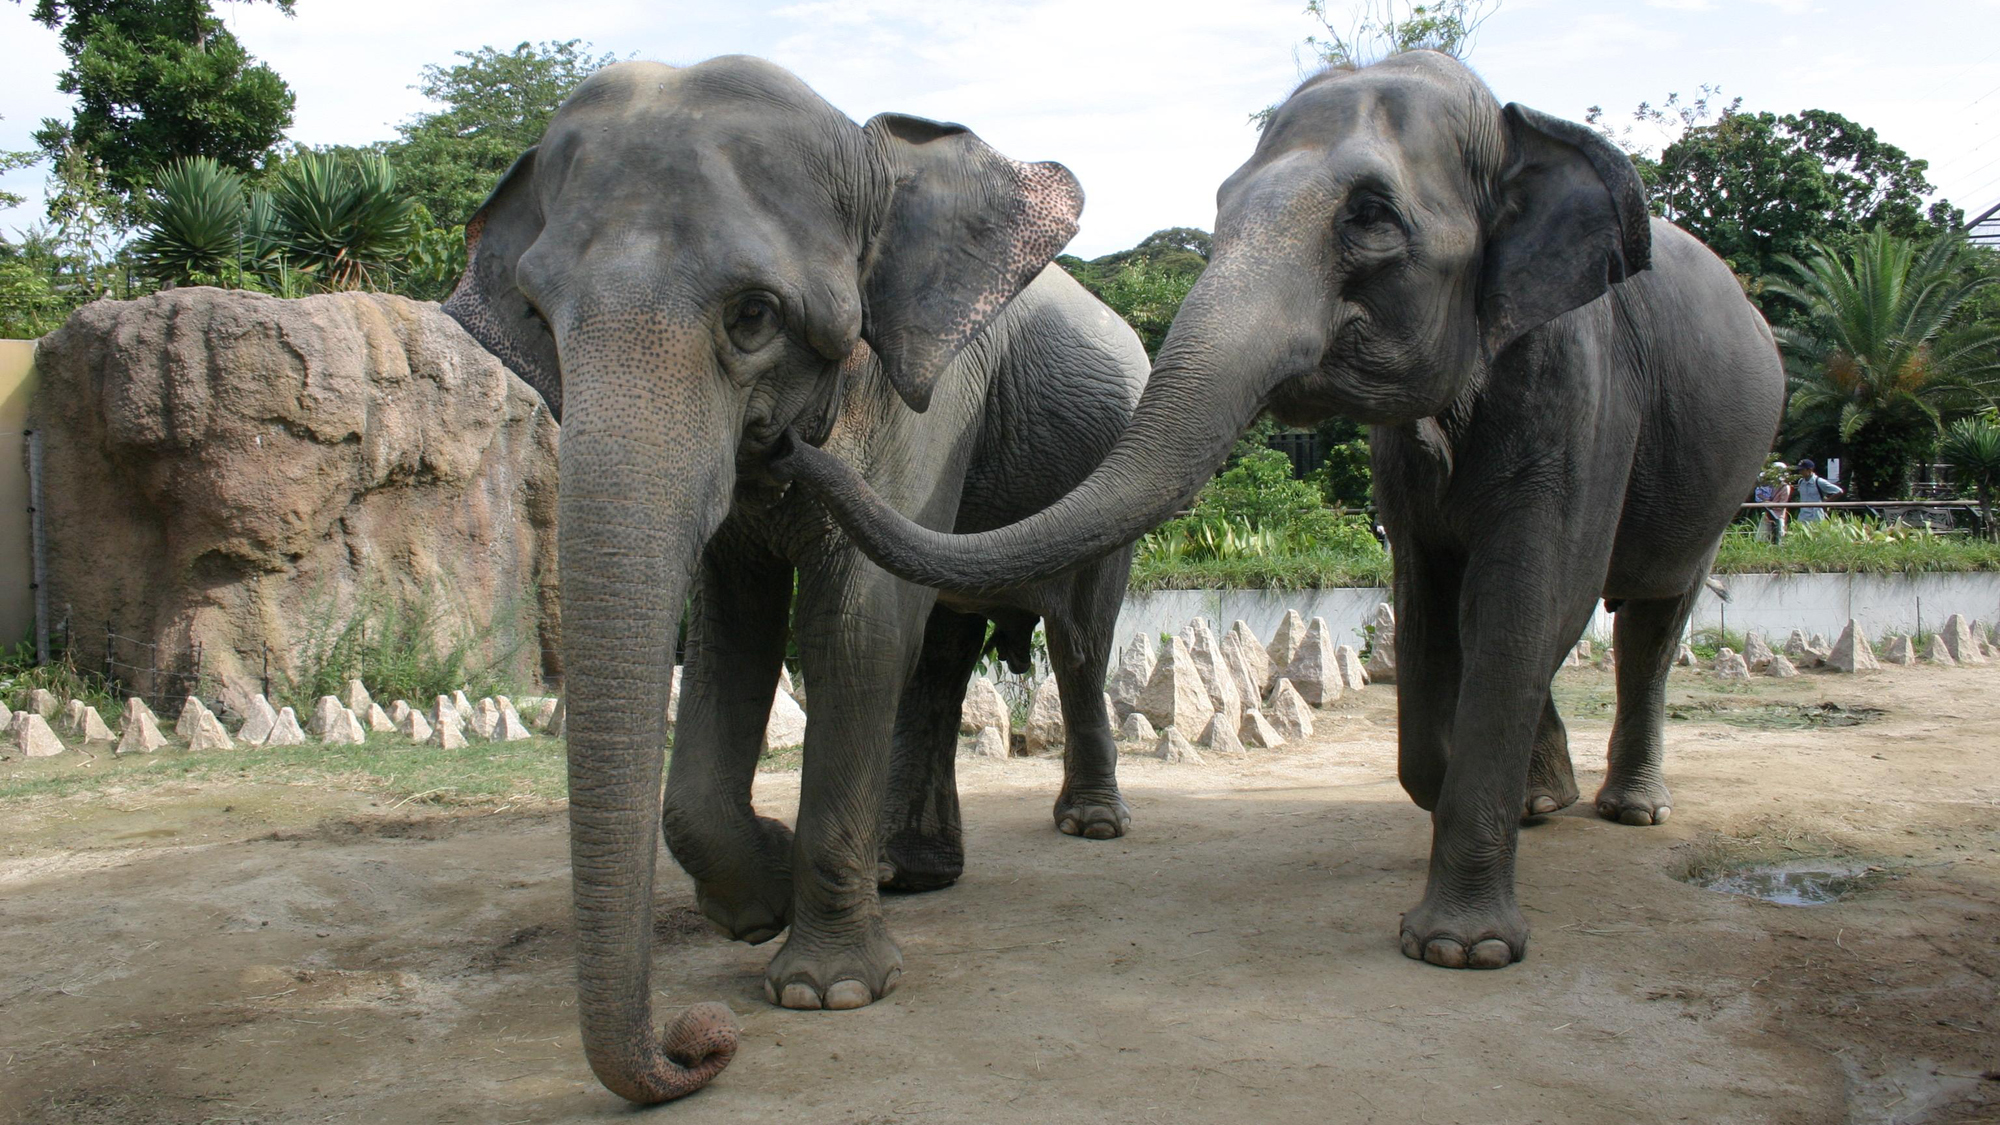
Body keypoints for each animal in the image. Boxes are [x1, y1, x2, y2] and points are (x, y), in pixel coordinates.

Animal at [446, 57, 1152, 1096]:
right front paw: (759, 904)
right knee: (940, 652)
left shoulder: (927, 394)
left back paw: (1090, 826)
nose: (699, 1040)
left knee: (1073, 638)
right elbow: (734, 628)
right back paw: (909, 872)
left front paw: (829, 992)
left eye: (753, 317)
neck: (871, 153)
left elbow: (851, 625)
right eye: (541, 318)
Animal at [772, 57, 1792, 972]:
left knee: (1649, 616)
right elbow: (1435, 595)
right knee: (953, 651)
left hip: (1730, 472)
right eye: (1221, 205)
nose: (789, 447)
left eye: (1372, 216)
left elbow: (1530, 594)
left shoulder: (1583, 384)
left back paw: (1626, 809)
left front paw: (1460, 949)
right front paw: (1461, 802)